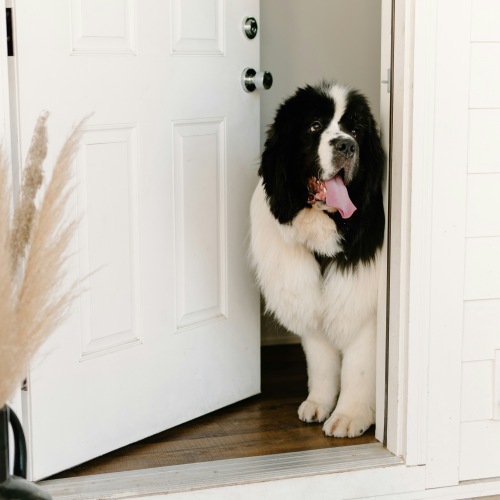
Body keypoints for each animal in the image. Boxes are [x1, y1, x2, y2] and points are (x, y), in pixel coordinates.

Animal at [250, 80, 386, 436]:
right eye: (314, 126)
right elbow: (321, 363)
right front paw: (319, 404)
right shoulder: (309, 299)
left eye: (356, 129)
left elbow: (358, 369)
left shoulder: (363, 306)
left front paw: (349, 416)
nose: (347, 145)